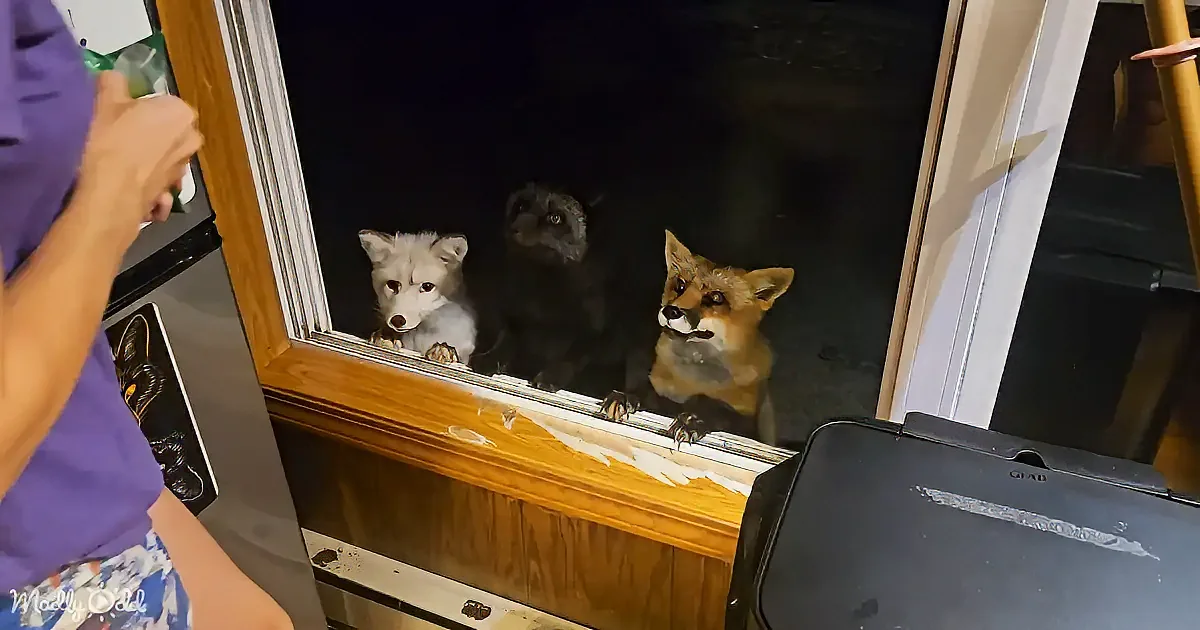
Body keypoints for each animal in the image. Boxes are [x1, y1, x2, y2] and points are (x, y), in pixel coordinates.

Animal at [601, 230, 793, 445]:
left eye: (717, 298)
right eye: (680, 285)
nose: (670, 311)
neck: (693, 378)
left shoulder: (747, 422)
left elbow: (716, 407)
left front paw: (692, 420)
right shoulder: (662, 390)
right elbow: (647, 390)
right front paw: (626, 396)